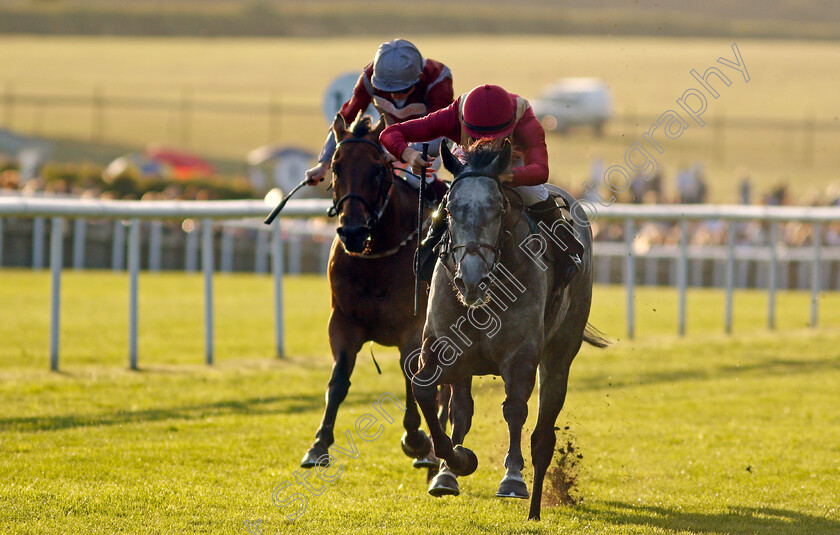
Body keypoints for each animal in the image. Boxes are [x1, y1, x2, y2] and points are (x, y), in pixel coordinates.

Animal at [298, 113, 440, 474]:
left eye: (377, 170)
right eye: (336, 167)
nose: (352, 231)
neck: (377, 255)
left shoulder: (413, 327)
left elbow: (412, 375)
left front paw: (416, 438)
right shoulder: (343, 322)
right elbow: (338, 380)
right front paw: (319, 444)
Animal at [406, 140, 604, 520]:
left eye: (497, 209)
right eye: (449, 209)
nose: (470, 280)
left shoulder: (522, 353)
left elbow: (514, 409)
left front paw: (512, 478)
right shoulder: (440, 346)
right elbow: (425, 391)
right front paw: (456, 462)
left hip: (561, 353)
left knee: (543, 435)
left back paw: (536, 509)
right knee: (461, 410)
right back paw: (448, 472)